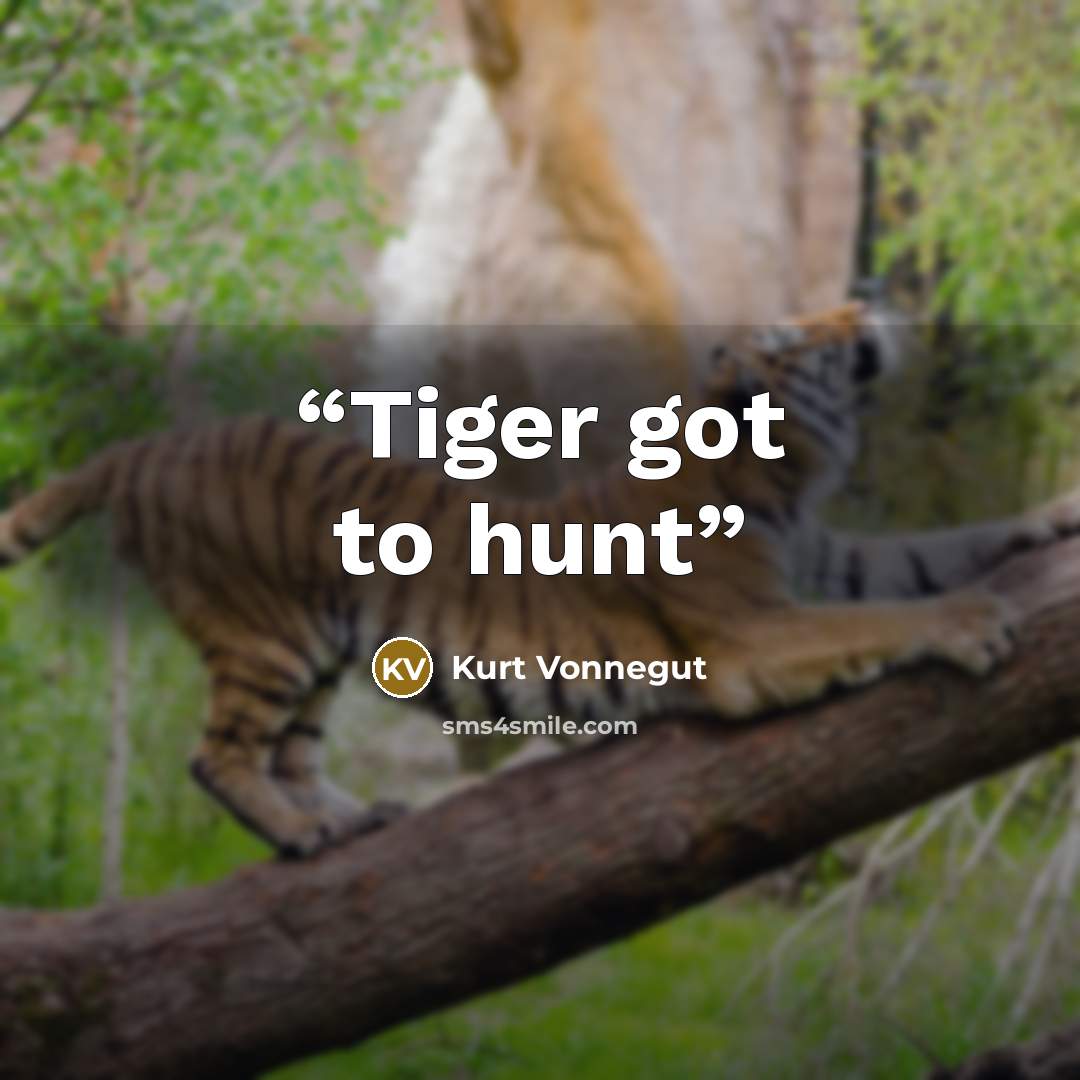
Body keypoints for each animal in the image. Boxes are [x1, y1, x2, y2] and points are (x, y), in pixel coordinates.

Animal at [0, 302, 1075, 859]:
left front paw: (1053, 514)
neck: (783, 477)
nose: (862, 302)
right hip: (268, 635)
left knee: (291, 755)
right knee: (219, 756)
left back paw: (345, 819)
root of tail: (144, 447)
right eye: (796, 335)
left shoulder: (823, 556)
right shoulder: (748, 636)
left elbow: (931, 550)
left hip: (323, 648)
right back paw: (301, 836)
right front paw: (974, 622)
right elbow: (895, 609)